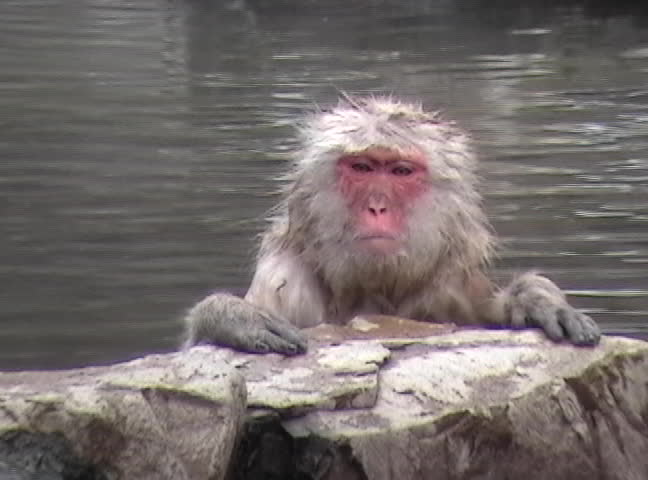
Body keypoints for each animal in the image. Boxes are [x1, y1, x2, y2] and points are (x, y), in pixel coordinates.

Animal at [183, 95, 601, 355]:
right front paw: (229, 317)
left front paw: (536, 299)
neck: (375, 289)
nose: (377, 207)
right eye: (362, 167)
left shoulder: (453, 286)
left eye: (400, 171)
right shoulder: (283, 280)